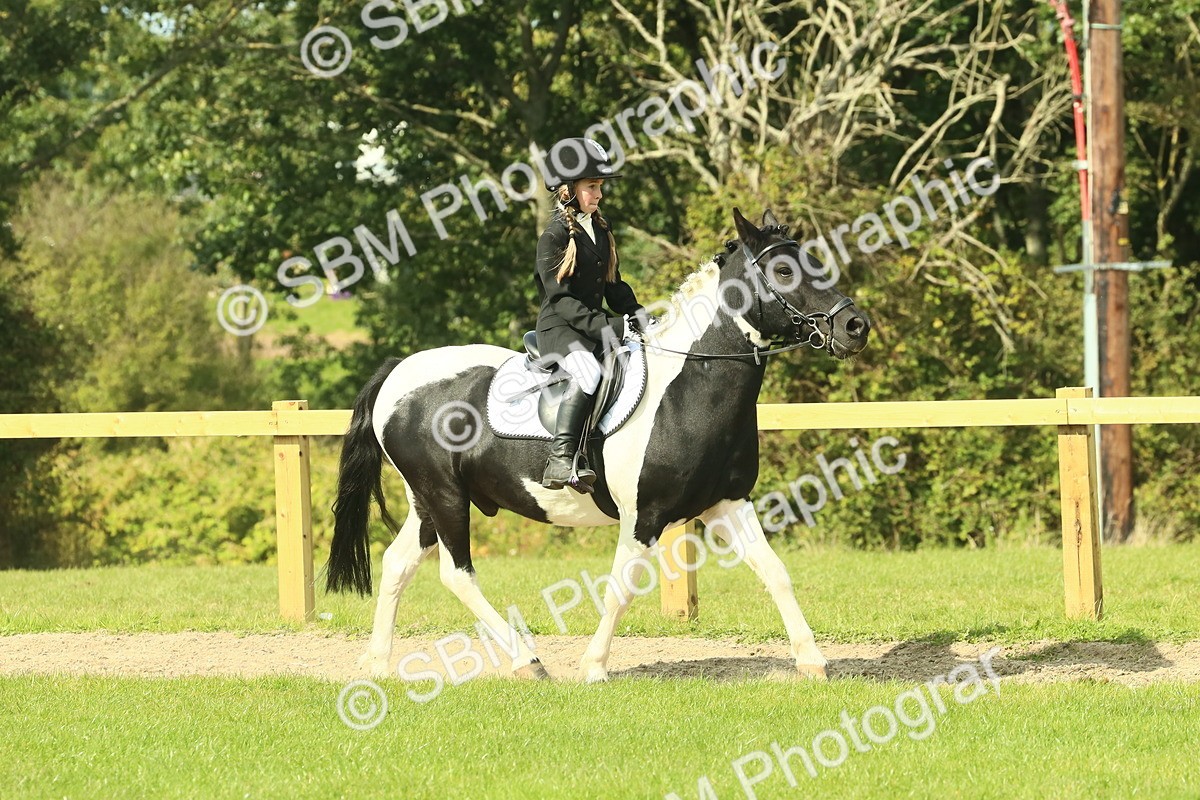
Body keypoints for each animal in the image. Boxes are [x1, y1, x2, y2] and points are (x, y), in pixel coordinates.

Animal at [325, 207, 871, 682]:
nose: (855, 327)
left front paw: (812, 662)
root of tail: (398, 370)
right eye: (783, 269)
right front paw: (593, 667)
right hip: (444, 496)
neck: (689, 388)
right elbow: (620, 589)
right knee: (457, 574)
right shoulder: (644, 517)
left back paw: (378, 664)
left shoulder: (728, 502)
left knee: (398, 564)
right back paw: (527, 662)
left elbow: (775, 572)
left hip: (428, 502)